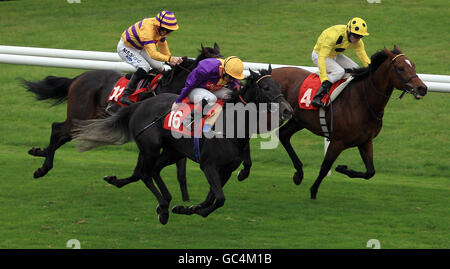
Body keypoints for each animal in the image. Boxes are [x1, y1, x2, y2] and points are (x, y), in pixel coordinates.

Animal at [72, 68, 294, 223]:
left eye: (279, 86)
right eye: (266, 88)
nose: (287, 110)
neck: (230, 126)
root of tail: (139, 104)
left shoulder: (226, 170)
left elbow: (212, 197)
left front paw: (189, 208)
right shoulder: (208, 165)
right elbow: (219, 198)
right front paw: (195, 210)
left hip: (172, 152)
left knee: (153, 170)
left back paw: (163, 201)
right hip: (151, 148)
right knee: (145, 173)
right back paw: (162, 207)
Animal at [268, 45, 428, 198]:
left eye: (413, 65)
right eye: (401, 68)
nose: (422, 88)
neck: (363, 101)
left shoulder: (365, 141)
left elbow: (370, 172)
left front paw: (342, 168)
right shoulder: (337, 142)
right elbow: (325, 167)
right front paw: (313, 191)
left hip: (298, 121)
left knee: (284, 134)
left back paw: (299, 173)